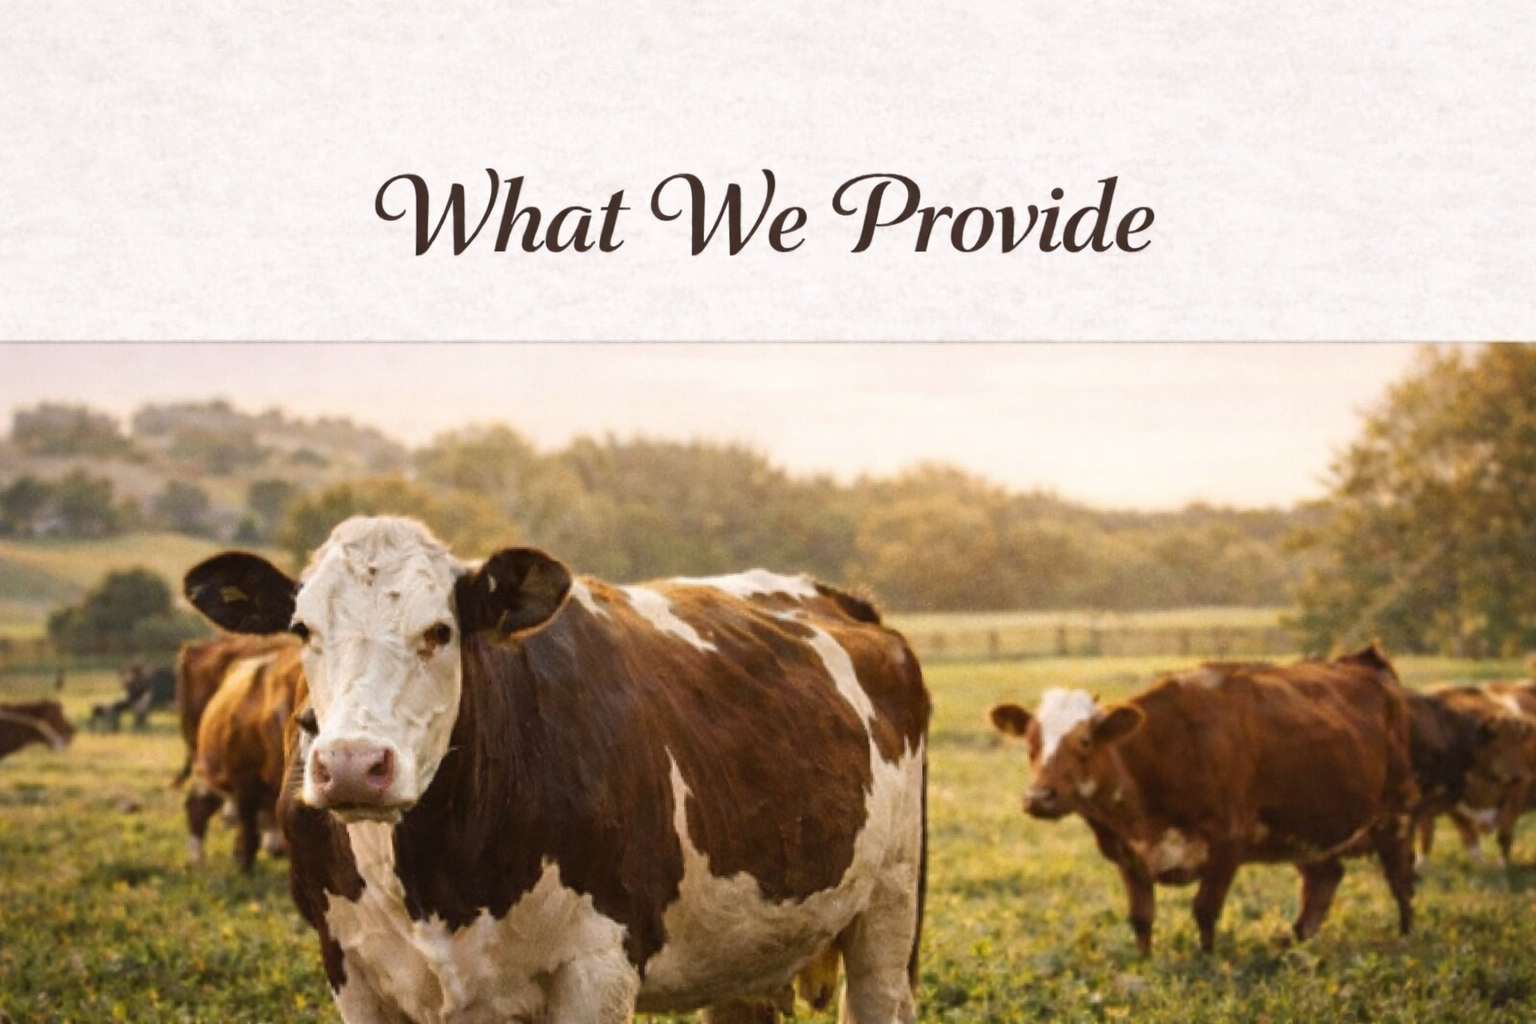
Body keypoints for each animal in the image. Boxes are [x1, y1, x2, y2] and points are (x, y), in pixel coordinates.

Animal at [987, 645, 1416, 955]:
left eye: (1086, 741)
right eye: (1030, 743)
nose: (1038, 797)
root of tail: (1366, 663)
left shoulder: (1228, 842)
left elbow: (1205, 911)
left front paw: (1206, 963)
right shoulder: (1126, 852)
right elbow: (1141, 918)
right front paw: (1144, 964)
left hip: (1395, 816)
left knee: (1401, 882)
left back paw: (1405, 940)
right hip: (1302, 830)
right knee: (1324, 879)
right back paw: (1291, 942)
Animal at [1403, 688, 1533, 869]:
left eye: (1521, 742)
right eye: (1496, 744)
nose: (1517, 776)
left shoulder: (1518, 793)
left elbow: (1504, 832)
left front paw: (1501, 866)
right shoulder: (1448, 805)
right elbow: (1465, 836)